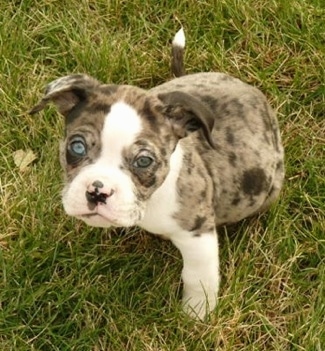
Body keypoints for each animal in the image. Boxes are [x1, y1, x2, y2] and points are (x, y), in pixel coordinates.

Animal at [31, 28, 284, 320]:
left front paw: (196, 314)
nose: (97, 191)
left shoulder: (197, 234)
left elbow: (198, 278)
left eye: (143, 161)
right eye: (77, 146)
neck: (150, 201)